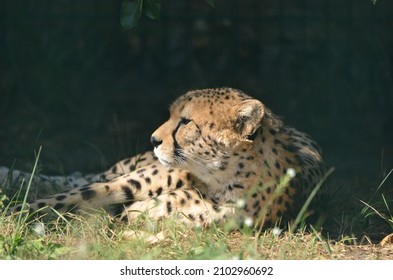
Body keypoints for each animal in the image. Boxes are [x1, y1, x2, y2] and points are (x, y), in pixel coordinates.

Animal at [1, 87, 324, 228]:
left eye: (186, 122)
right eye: (171, 115)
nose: (154, 139)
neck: (219, 181)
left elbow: (128, 213)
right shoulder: (128, 183)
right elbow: (68, 196)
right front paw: (13, 215)